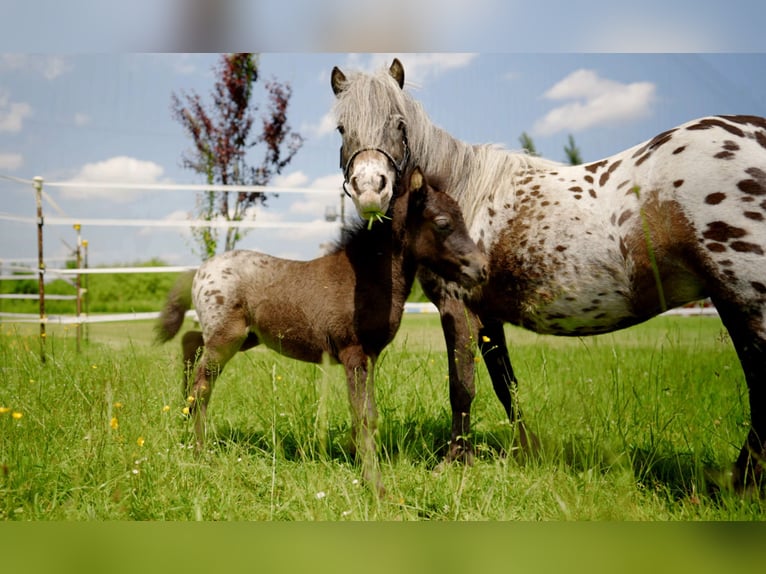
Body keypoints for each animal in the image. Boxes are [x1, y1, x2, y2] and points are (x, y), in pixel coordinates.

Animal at [155, 166, 488, 495]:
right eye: (443, 223)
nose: (481, 268)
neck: (365, 278)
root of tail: (200, 270)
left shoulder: (369, 356)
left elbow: (364, 412)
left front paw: (356, 459)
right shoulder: (354, 352)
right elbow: (365, 414)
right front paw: (375, 485)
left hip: (244, 336)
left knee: (190, 343)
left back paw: (184, 407)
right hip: (227, 337)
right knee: (202, 385)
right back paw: (200, 450)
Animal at [330, 58, 766, 491]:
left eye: (399, 123)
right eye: (342, 128)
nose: (370, 189)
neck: (463, 193)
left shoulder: (457, 309)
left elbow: (462, 387)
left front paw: (455, 461)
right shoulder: (488, 317)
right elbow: (505, 385)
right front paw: (527, 451)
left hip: (745, 300)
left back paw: (739, 484)